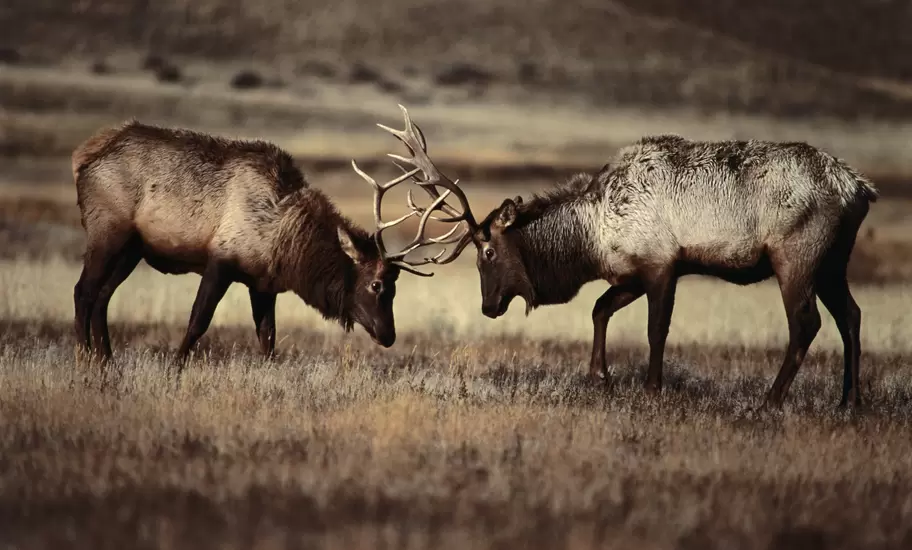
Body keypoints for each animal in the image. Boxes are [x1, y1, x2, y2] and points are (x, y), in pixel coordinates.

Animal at [71, 120, 457, 364]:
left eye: (396, 284)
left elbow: (268, 338)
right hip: (107, 233)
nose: (388, 334)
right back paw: (84, 360)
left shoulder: (262, 284)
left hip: (131, 249)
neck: (284, 240)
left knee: (103, 297)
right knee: (84, 291)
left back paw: (106, 361)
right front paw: (174, 368)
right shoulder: (221, 261)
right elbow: (198, 321)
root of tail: (83, 158)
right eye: (376, 284)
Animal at [372, 104, 879, 409]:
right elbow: (600, 308)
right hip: (834, 261)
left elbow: (656, 330)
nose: (488, 306)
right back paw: (849, 401)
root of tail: (859, 188)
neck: (592, 236)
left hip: (796, 256)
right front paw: (600, 375)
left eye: (488, 251)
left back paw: (772, 400)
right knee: (851, 314)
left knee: (807, 322)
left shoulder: (662, 264)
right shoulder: (630, 273)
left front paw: (652, 388)